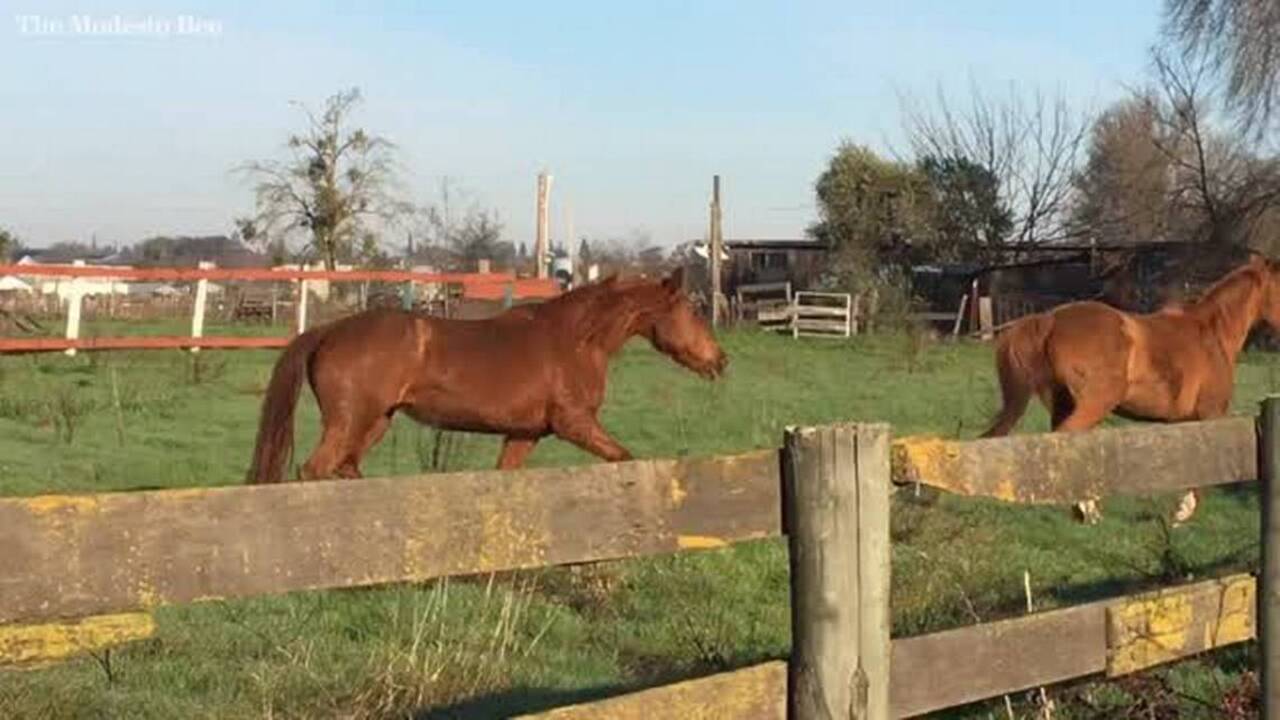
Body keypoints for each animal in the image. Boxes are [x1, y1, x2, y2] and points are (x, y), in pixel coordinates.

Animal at [246, 267, 728, 484]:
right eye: (693, 309)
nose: (720, 360)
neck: (576, 339)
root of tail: (327, 331)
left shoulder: (525, 434)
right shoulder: (575, 423)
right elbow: (623, 457)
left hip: (375, 422)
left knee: (345, 470)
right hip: (350, 422)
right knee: (314, 471)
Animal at [980, 253, 1280, 524]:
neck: (1212, 333)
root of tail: (1050, 319)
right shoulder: (1210, 415)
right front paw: (1183, 512)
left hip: (1065, 403)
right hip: (1095, 404)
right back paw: (1087, 509)